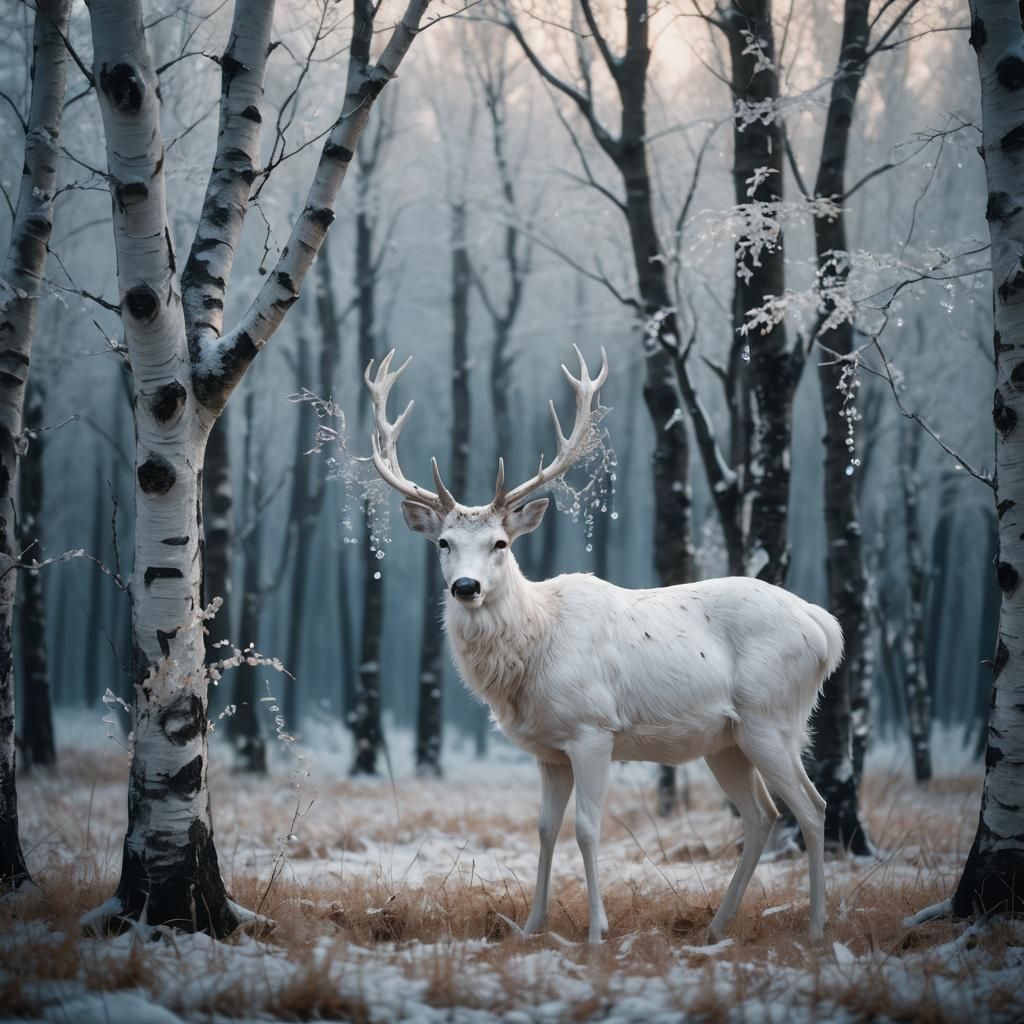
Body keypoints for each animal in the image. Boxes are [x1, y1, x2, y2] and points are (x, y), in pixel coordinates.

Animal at [363, 346, 841, 945]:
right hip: (727, 739)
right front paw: (531, 927)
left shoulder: (593, 729)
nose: (466, 587)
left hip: (772, 716)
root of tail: (826, 628)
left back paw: (817, 928)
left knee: (812, 808)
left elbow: (588, 830)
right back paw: (716, 927)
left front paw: (596, 932)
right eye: (444, 542)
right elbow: (545, 829)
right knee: (763, 816)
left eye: (500, 542)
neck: (533, 649)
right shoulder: (548, 749)